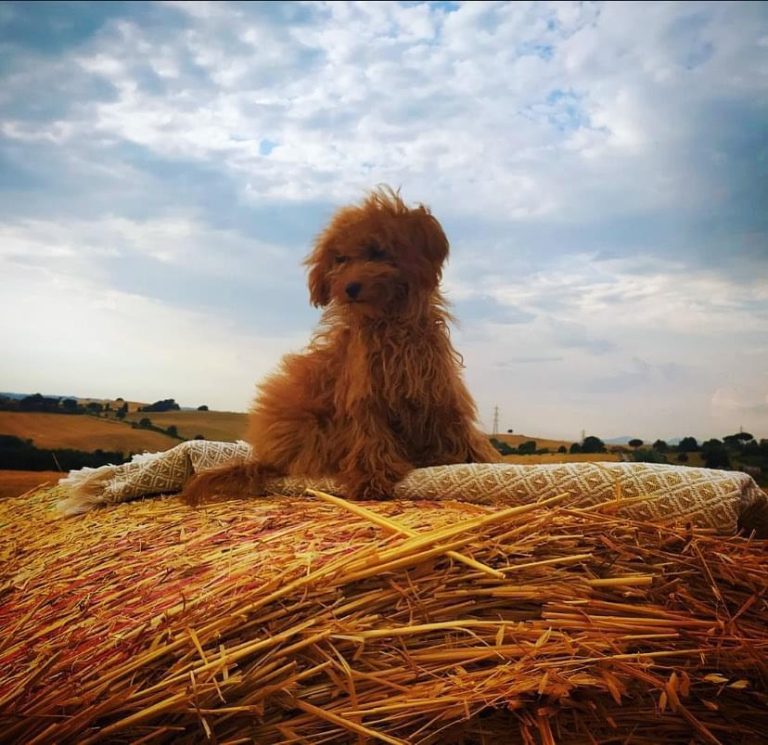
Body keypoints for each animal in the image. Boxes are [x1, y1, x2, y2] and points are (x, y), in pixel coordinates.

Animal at [183, 186, 500, 502]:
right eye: (341, 259)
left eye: (377, 252)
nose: (350, 288)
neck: (391, 324)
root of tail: (268, 460)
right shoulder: (363, 396)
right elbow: (370, 436)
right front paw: (372, 479)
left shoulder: (436, 389)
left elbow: (455, 428)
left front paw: (477, 459)